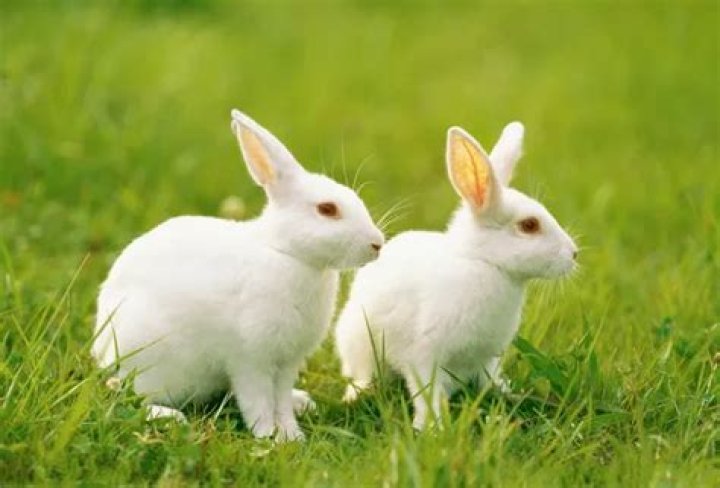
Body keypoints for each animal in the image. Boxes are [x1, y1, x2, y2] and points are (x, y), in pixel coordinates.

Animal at [93, 110, 385, 441]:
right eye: (327, 209)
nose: (377, 244)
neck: (288, 254)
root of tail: (101, 352)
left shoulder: (286, 363)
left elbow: (280, 400)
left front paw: (291, 434)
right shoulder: (249, 359)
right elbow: (257, 400)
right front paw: (269, 436)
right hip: (149, 362)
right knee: (133, 397)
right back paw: (171, 417)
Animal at [335, 122, 578, 430]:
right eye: (529, 225)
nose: (574, 253)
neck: (484, 263)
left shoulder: (486, 358)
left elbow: (489, 382)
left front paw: (508, 396)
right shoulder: (424, 357)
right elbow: (427, 394)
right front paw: (431, 428)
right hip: (357, 339)